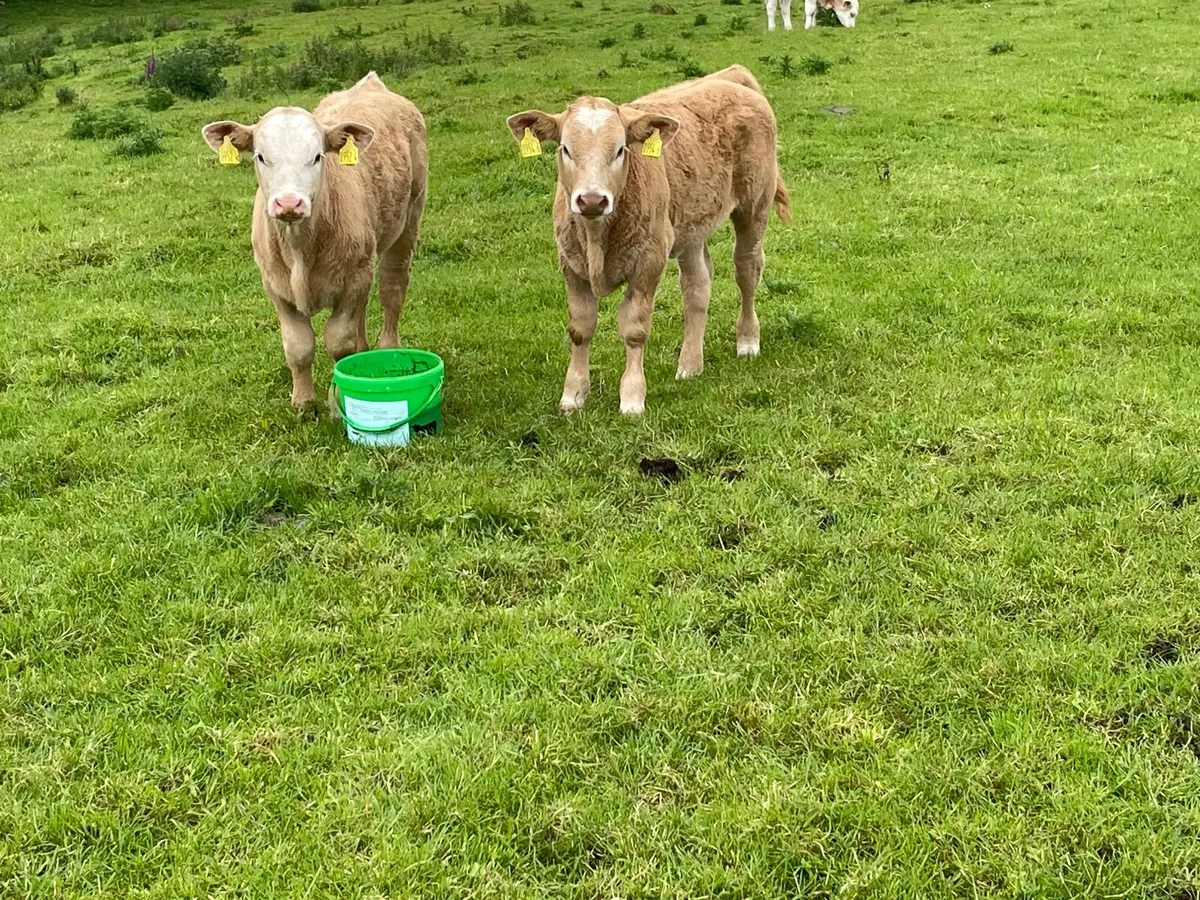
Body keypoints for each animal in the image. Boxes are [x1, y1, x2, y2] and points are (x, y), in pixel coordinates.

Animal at [201, 72, 427, 415]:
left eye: (317, 156)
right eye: (260, 156)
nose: (289, 203)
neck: (300, 250)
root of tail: (371, 83)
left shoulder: (352, 280)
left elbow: (339, 343)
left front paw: (337, 402)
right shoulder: (275, 286)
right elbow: (298, 346)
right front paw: (304, 402)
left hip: (408, 220)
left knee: (392, 290)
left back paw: (388, 347)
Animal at [506, 65, 790, 416]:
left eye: (620, 149)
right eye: (566, 149)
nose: (591, 200)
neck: (597, 238)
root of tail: (730, 77)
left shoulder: (648, 262)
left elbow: (634, 329)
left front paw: (631, 397)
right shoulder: (570, 264)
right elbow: (580, 328)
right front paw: (573, 395)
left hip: (754, 206)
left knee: (747, 270)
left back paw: (747, 341)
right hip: (689, 227)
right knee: (697, 286)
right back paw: (690, 364)